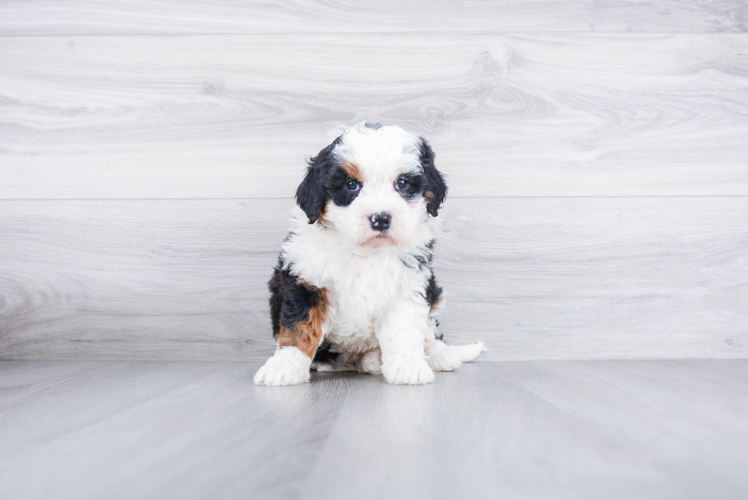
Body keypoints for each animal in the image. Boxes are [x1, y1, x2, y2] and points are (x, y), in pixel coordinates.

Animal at [254, 122, 482, 386]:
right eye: (352, 185)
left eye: (402, 184)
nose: (381, 218)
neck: (365, 251)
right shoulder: (306, 280)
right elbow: (299, 328)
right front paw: (284, 366)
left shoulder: (408, 286)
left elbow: (403, 330)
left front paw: (408, 366)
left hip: (433, 294)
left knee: (430, 331)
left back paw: (439, 355)